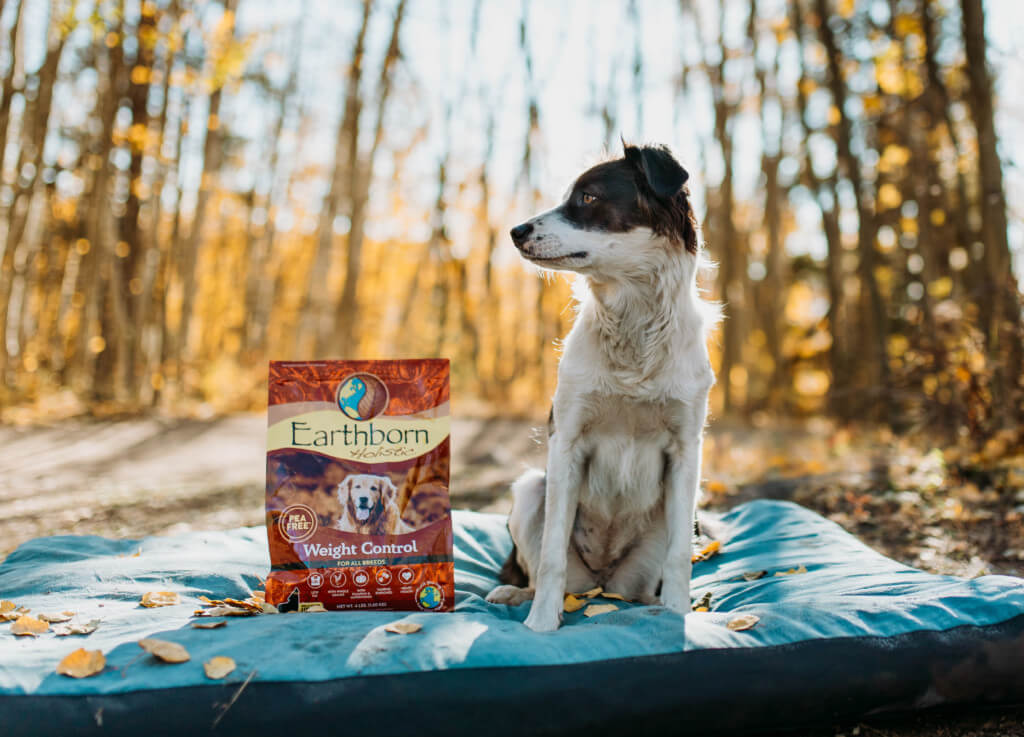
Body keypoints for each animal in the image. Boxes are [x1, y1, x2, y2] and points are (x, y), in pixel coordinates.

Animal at [483, 144, 716, 634]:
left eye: (588, 198)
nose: (515, 231)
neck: (633, 322)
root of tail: (602, 584)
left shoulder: (687, 450)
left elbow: (679, 560)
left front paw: (679, 616)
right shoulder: (567, 440)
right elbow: (551, 554)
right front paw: (540, 624)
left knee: (644, 586)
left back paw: (652, 604)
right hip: (530, 489)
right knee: (539, 570)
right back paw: (517, 593)